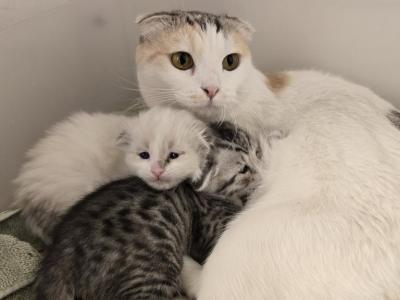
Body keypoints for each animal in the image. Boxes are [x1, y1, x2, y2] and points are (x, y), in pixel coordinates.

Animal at [36, 123, 262, 298]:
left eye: (258, 152)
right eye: (244, 170)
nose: (263, 170)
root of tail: (59, 256)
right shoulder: (215, 229)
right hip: (150, 276)